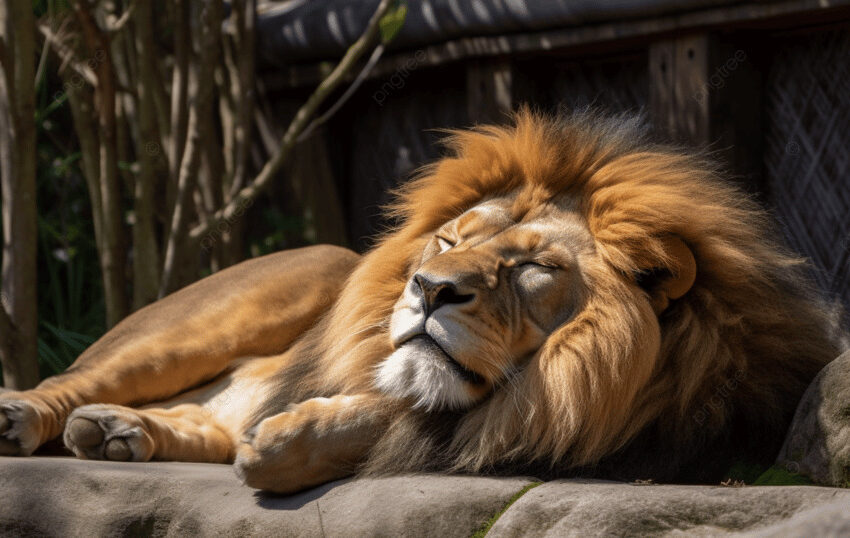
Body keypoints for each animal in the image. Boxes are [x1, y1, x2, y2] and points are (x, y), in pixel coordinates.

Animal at [0, 110, 844, 493]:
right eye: (448, 241)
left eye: (531, 266)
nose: (432, 289)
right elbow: (392, 401)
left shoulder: (551, 426)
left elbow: (397, 415)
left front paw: (288, 438)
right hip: (268, 290)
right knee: (76, 378)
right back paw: (29, 415)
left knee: (208, 416)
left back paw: (118, 432)